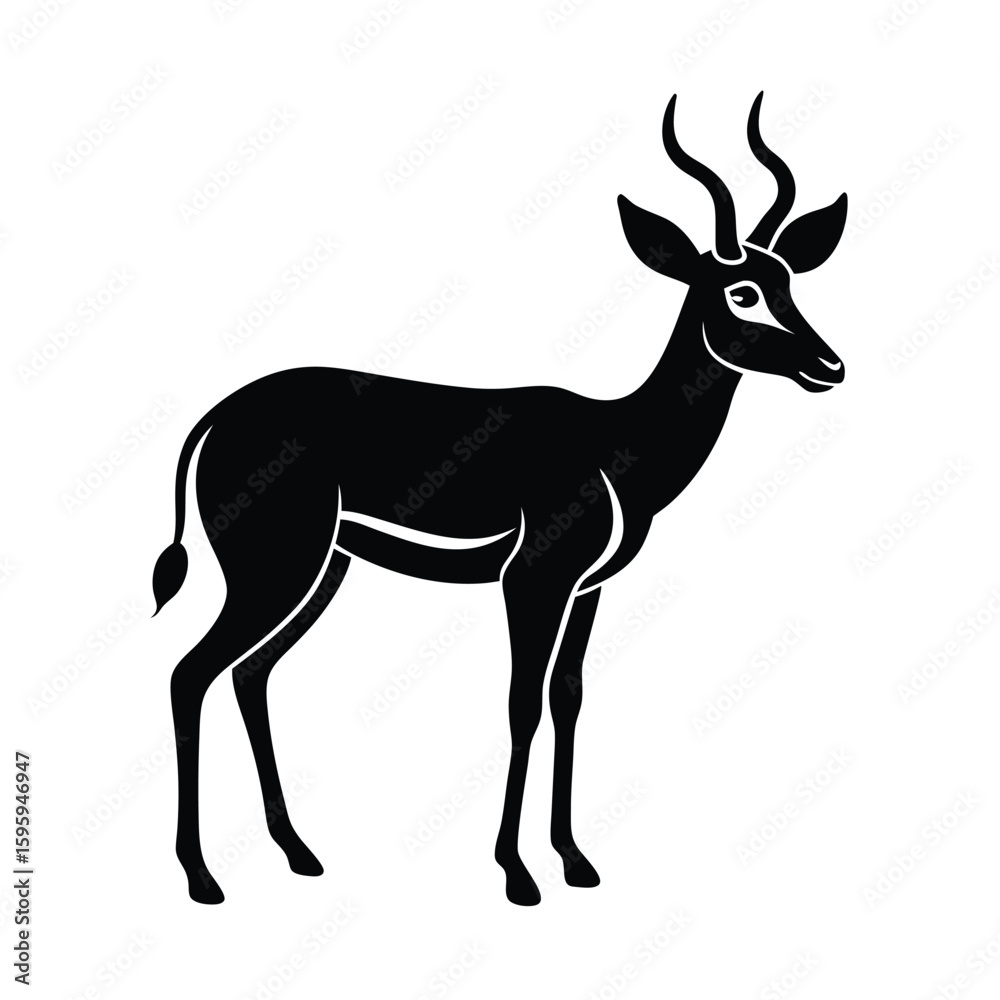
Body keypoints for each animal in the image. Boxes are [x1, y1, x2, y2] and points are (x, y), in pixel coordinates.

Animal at [153, 92, 848, 906]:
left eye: (791, 282)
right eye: (741, 290)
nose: (829, 366)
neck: (615, 439)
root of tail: (217, 416)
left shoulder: (586, 589)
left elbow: (567, 698)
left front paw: (575, 861)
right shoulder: (532, 579)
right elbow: (521, 704)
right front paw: (518, 874)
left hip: (323, 571)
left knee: (250, 674)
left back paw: (299, 853)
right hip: (275, 571)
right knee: (190, 674)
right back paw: (203, 877)